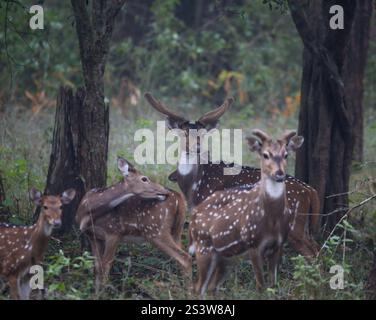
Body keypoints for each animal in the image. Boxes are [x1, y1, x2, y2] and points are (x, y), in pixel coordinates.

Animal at [75, 158, 191, 292]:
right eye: (144, 178)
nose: (165, 191)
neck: (87, 210)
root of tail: (179, 198)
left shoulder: (114, 231)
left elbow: (106, 265)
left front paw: (101, 293)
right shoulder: (93, 236)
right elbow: (97, 267)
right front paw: (96, 292)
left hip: (155, 230)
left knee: (185, 257)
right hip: (176, 230)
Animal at [145, 93, 320, 260]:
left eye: (203, 134)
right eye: (184, 133)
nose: (197, 147)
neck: (194, 187)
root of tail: (311, 191)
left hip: (294, 223)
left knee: (312, 251)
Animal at [189, 129, 304, 296]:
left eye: (286, 154)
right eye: (265, 154)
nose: (279, 173)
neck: (272, 220)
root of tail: (193, 215)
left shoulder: (279, 243)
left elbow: (273, 285)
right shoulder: (253, 243)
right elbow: (261, 287)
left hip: (225, 257)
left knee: (211, 288)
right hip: (203, 245)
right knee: (198, 288)